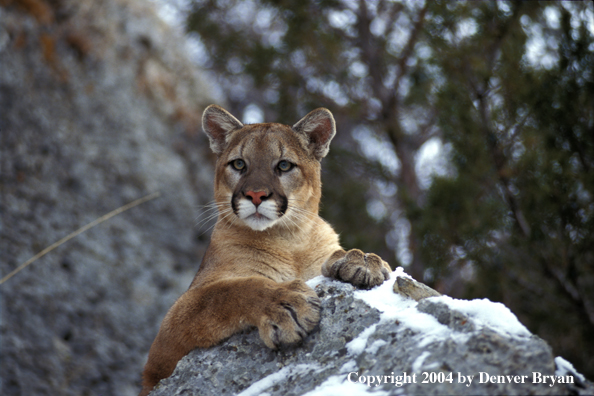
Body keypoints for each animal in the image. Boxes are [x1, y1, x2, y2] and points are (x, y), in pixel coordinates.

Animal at [138, 105, 388, 396]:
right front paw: (285, 305)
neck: (290, 241)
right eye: (239, 164)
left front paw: (361, 260)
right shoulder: (167, 339)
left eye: (284, 165)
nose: (256, 195)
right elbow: (234, 289)